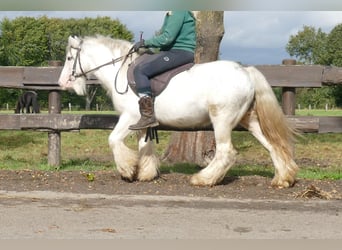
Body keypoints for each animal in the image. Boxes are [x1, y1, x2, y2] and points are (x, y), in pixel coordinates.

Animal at [57, 34, 298, 188]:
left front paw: (126, 170)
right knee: (272, 145)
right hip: (250, 121)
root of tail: (245, 70)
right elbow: (145, 146)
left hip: (221, 120)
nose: (61, 83)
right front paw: (145, 173)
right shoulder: (142, 122)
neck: (122, 71)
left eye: (69, 58)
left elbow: (113, 140)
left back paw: (203, 179)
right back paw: (283, 179)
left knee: (226, 152)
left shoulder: (129, 117)